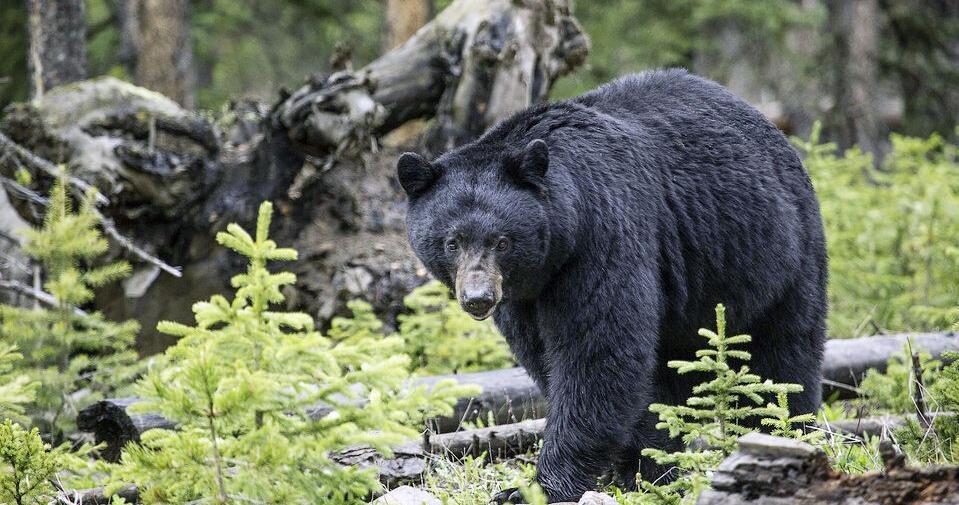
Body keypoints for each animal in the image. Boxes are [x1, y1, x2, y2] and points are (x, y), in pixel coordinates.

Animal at [396, 69, 827, 502]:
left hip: (776, 256)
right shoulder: (523, 296)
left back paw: (784, 432)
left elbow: (598, 352)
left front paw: (539, 486)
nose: (478, 298)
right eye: (452, 242)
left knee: (784, 355)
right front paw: (639, 465)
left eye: (502, 241)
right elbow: (546, 356)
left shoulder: (603, 236)